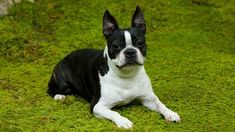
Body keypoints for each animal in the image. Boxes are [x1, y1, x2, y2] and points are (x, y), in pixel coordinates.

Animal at [47, 6, 180, 129]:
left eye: (140, 43)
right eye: (116, 46)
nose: (130, 51)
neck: (127, 75)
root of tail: (63, 58)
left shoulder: (148, 99)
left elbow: (160, 104)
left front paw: (170, 113)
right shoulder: (97, 106)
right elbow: (114, 113)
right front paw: (123, 121)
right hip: (61, 82)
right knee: (50, 89)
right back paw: (59, 96)